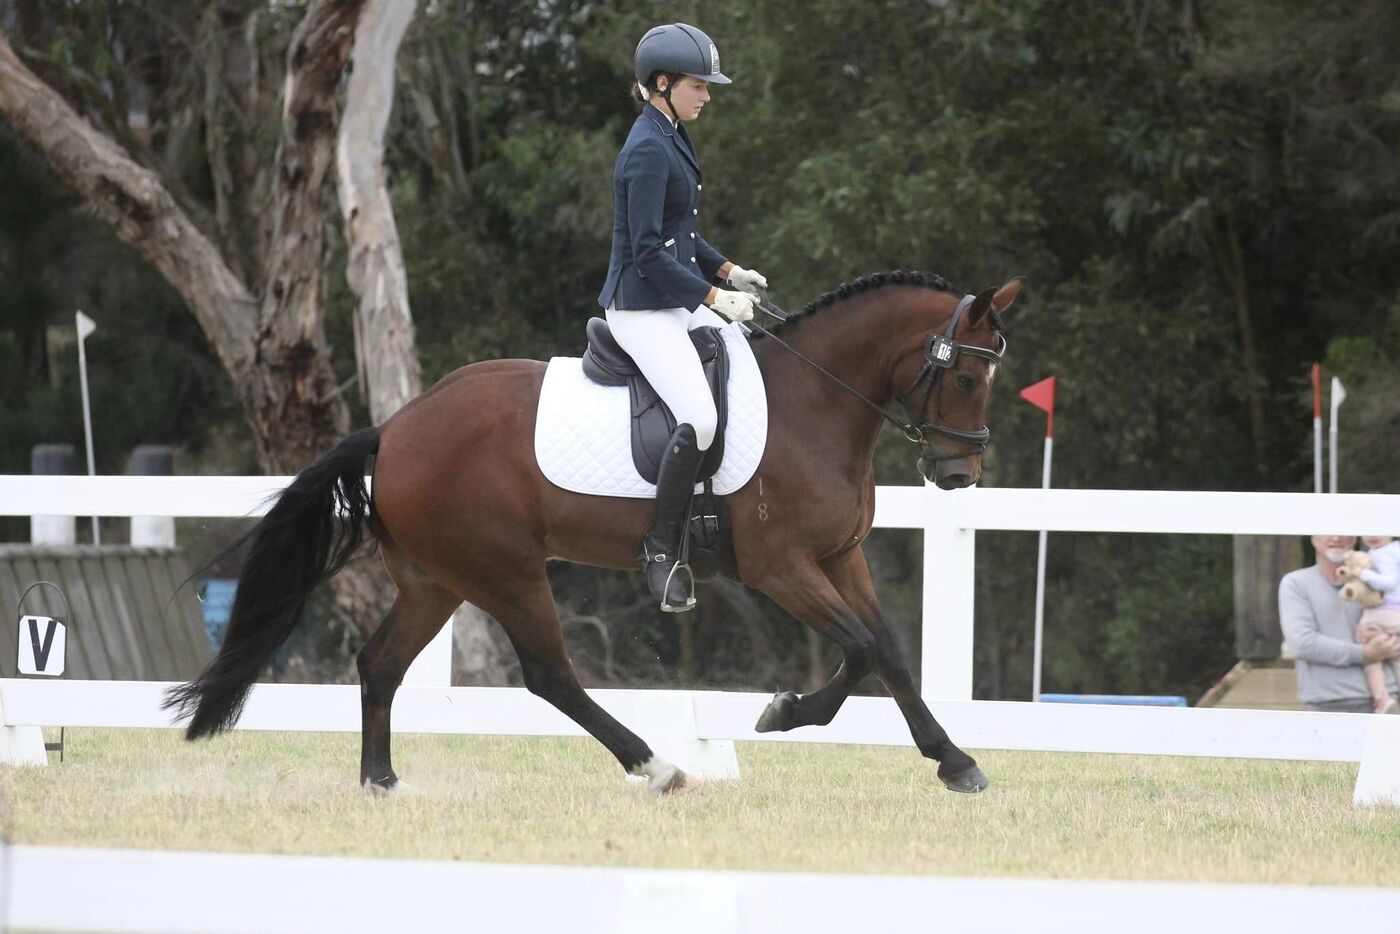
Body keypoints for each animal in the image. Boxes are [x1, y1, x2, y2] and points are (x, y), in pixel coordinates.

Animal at [165, 269, 1020, 796]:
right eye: (964, 376)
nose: (957, 475)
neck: (816, 402)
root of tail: (399, 428)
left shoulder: (841, 558)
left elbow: (892, 653)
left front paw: (955, 762)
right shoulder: (781, 567)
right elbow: (864, 649)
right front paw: (782, 712)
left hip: (437, 580)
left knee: (380, 664)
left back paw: (381, 782)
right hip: (506, 571)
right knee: (550, 675)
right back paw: (658, 766)